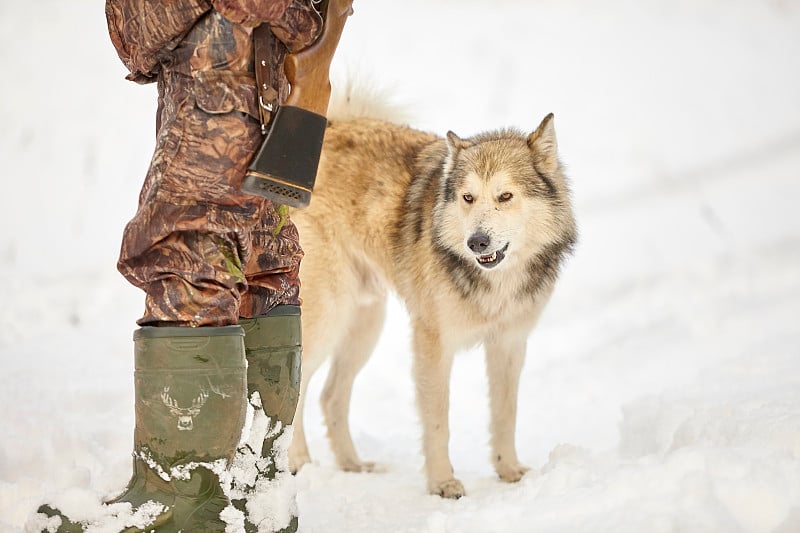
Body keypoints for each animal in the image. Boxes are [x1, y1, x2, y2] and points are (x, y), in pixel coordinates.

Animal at [288, 85, 576, 496]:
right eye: (467, 198)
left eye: (505, 196)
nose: (476, 242)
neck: (494, 281)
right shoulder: (433, 344)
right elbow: (438, 421)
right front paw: (443, 483)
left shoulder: (509, 344)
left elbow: (505, 414)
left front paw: (509, 471)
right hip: (329, 316)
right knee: (297, 389)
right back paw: (298, 463)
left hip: (365, 324)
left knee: (330, 396)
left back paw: (353, 466)